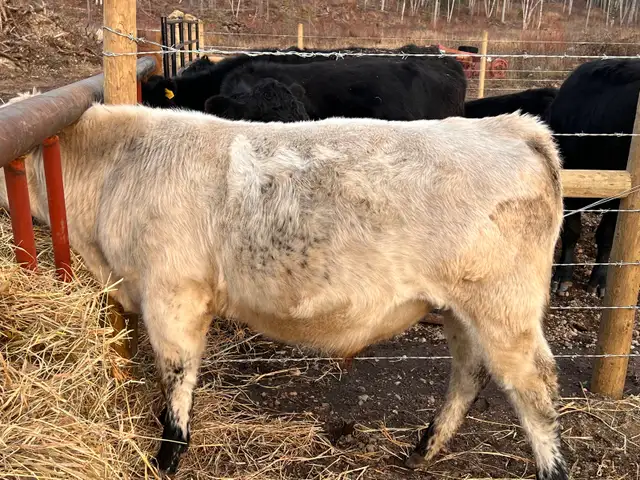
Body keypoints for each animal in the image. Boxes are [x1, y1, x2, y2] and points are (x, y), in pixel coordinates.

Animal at [0, 94, 569, 480]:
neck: (118, 167)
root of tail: (513, 126)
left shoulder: (173, 296)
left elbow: (177, 376)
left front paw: (168, 454)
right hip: (460, 309)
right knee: (469, 372)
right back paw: (424, 447)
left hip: (505, 309)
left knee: (535, 387)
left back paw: (550, 468)